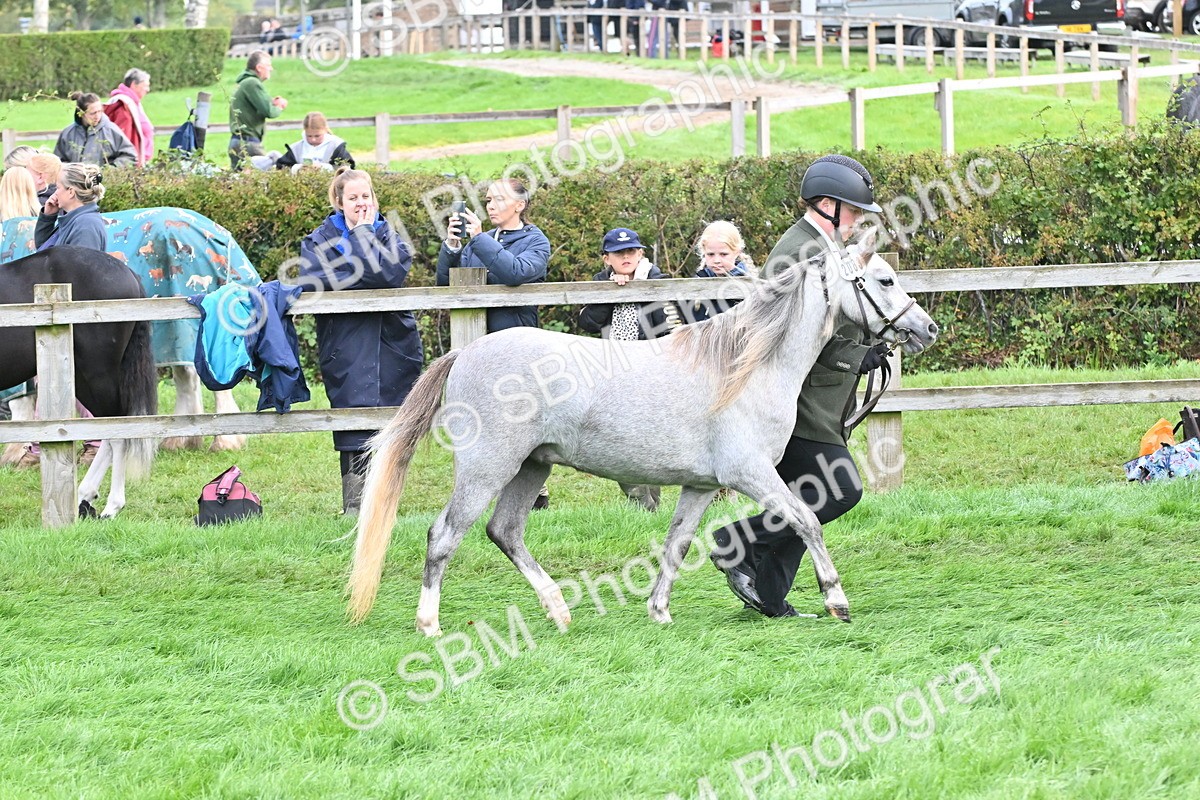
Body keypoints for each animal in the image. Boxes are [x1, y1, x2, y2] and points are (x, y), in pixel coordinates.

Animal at [346, 238, 940, 636]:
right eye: (884, 280)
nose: (927, 328)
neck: (745, 367)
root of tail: (465, 353)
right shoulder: (752, 474)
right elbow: (808, 521)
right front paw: (836, 599)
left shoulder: (701, 486)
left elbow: (677, 544)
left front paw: (659, 610)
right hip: (486, 468)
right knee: (444, 536)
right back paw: (429, 624)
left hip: (532, 467)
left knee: (505, 532)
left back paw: (559, 611)